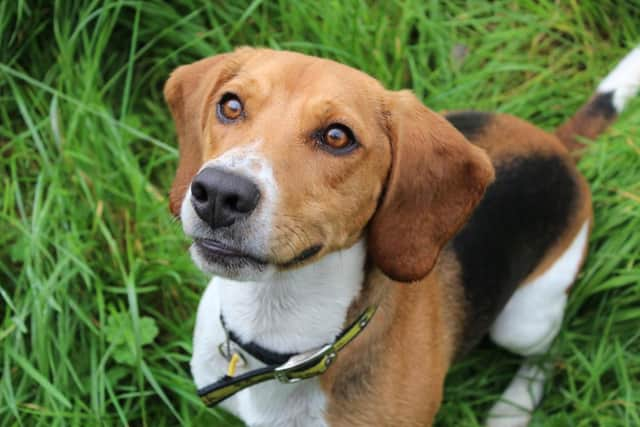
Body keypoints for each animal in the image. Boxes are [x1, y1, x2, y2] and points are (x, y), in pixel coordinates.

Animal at [165, 47, 640, 427]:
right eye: (230, 106)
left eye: (337, 136)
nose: (219, 193)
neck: (278, 334)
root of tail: (556, 146)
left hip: (523, 321)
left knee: (548, 351)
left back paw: (513, 408)